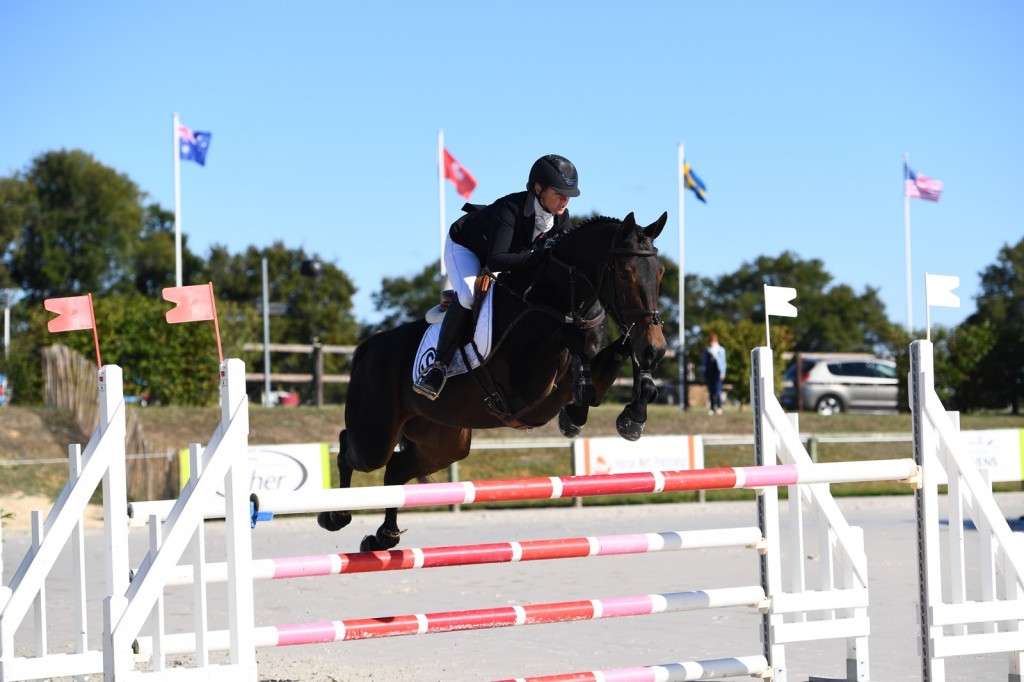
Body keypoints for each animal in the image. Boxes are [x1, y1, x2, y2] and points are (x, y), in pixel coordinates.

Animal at [319, 209, 671, 548]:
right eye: (625, 273)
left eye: (661, 273)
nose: (654, 349)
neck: (558, 299)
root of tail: (370, 347)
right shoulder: (525, 387)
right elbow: (575, 358)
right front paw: (575, 416)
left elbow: (615, 361)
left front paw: (632, 417)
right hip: (375, 435)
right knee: (350, 448)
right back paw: (335, 516)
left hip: (443, 442)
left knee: (395, 471)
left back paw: (384, 536)